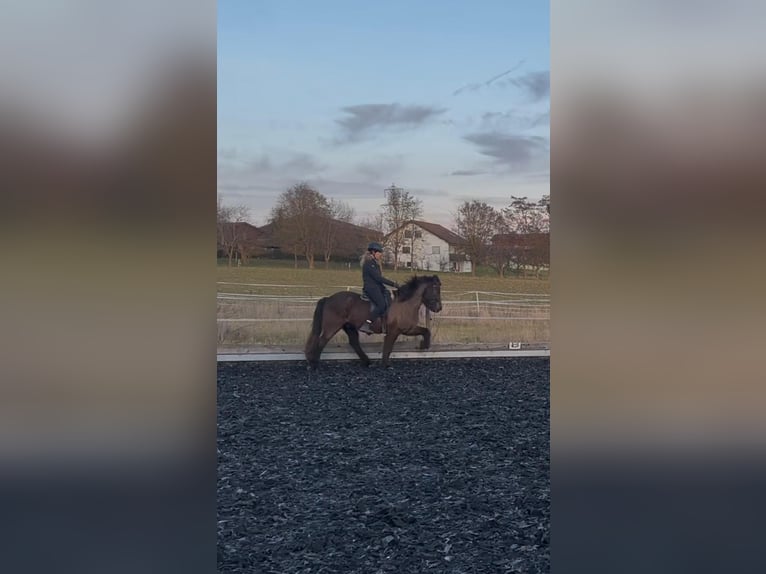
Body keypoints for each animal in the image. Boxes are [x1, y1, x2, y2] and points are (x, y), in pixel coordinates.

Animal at [304, 275, 443, 370]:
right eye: (435, 289)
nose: (439, 308)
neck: (405, 304)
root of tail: (328, 298)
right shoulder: (394, 331)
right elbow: (388, 347)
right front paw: (386, 365)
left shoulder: (408, 329)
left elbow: (426, 331)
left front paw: (423, 345)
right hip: (332, 326)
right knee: (322, 341)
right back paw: (314, 364)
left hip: (349, 327)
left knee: (354, 343)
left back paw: (367, 362)